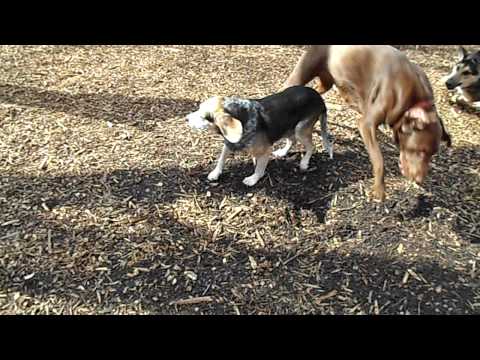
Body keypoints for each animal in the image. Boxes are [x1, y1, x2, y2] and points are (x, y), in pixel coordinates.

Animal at [186, 84, 332, 186]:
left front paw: (252, 179)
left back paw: (304, 162)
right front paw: (215, 173)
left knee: (311, 146)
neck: (243, 117)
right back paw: (282, 152)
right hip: (287, 128)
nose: (186, 118)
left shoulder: (265, 151)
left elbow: (259, 170)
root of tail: (319, 98)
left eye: (203, 117)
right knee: (292, 141)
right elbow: (221, 160)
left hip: (300, 130)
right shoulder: (229, 144)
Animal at [282, 44, 450, 200]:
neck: (412, 100)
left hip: (326, 82)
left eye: (432, 154)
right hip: (303, 72)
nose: (419, 181)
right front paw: (379, 190)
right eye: (419, 151)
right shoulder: (366, 124)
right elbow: (379, 160)